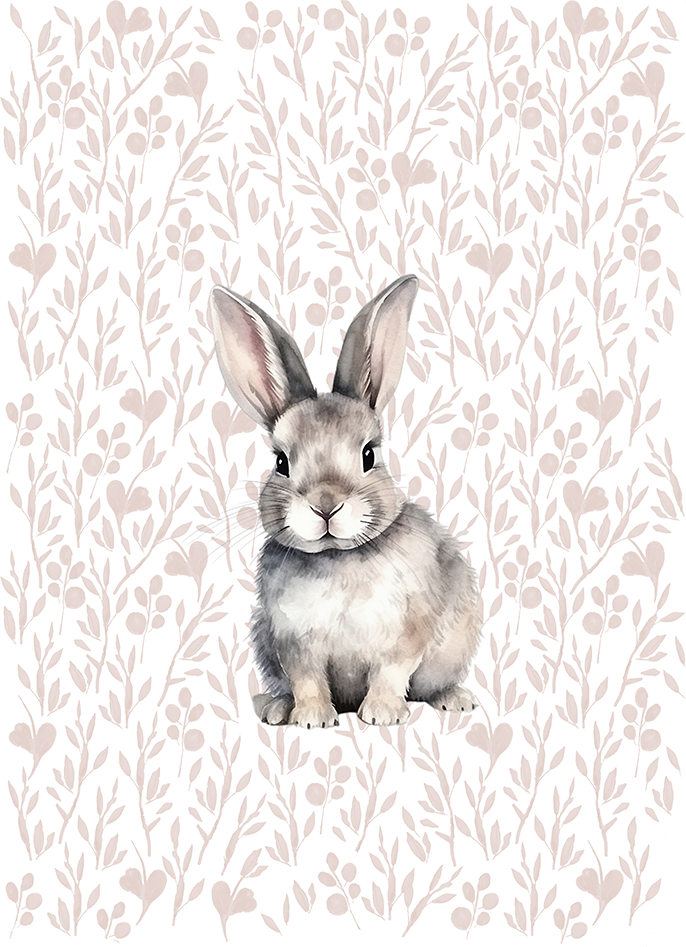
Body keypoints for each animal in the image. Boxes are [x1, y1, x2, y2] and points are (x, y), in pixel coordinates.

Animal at [208, 274, 481, 728]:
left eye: (369, 455)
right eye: (281, 462)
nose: (325, 505)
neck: (337, 558)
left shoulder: (405, 637)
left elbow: (391, 673)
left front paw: (382, 715)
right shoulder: (293, 645)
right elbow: (307, 681)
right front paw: (313, 718)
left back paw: (455, 699)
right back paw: (275, 708)